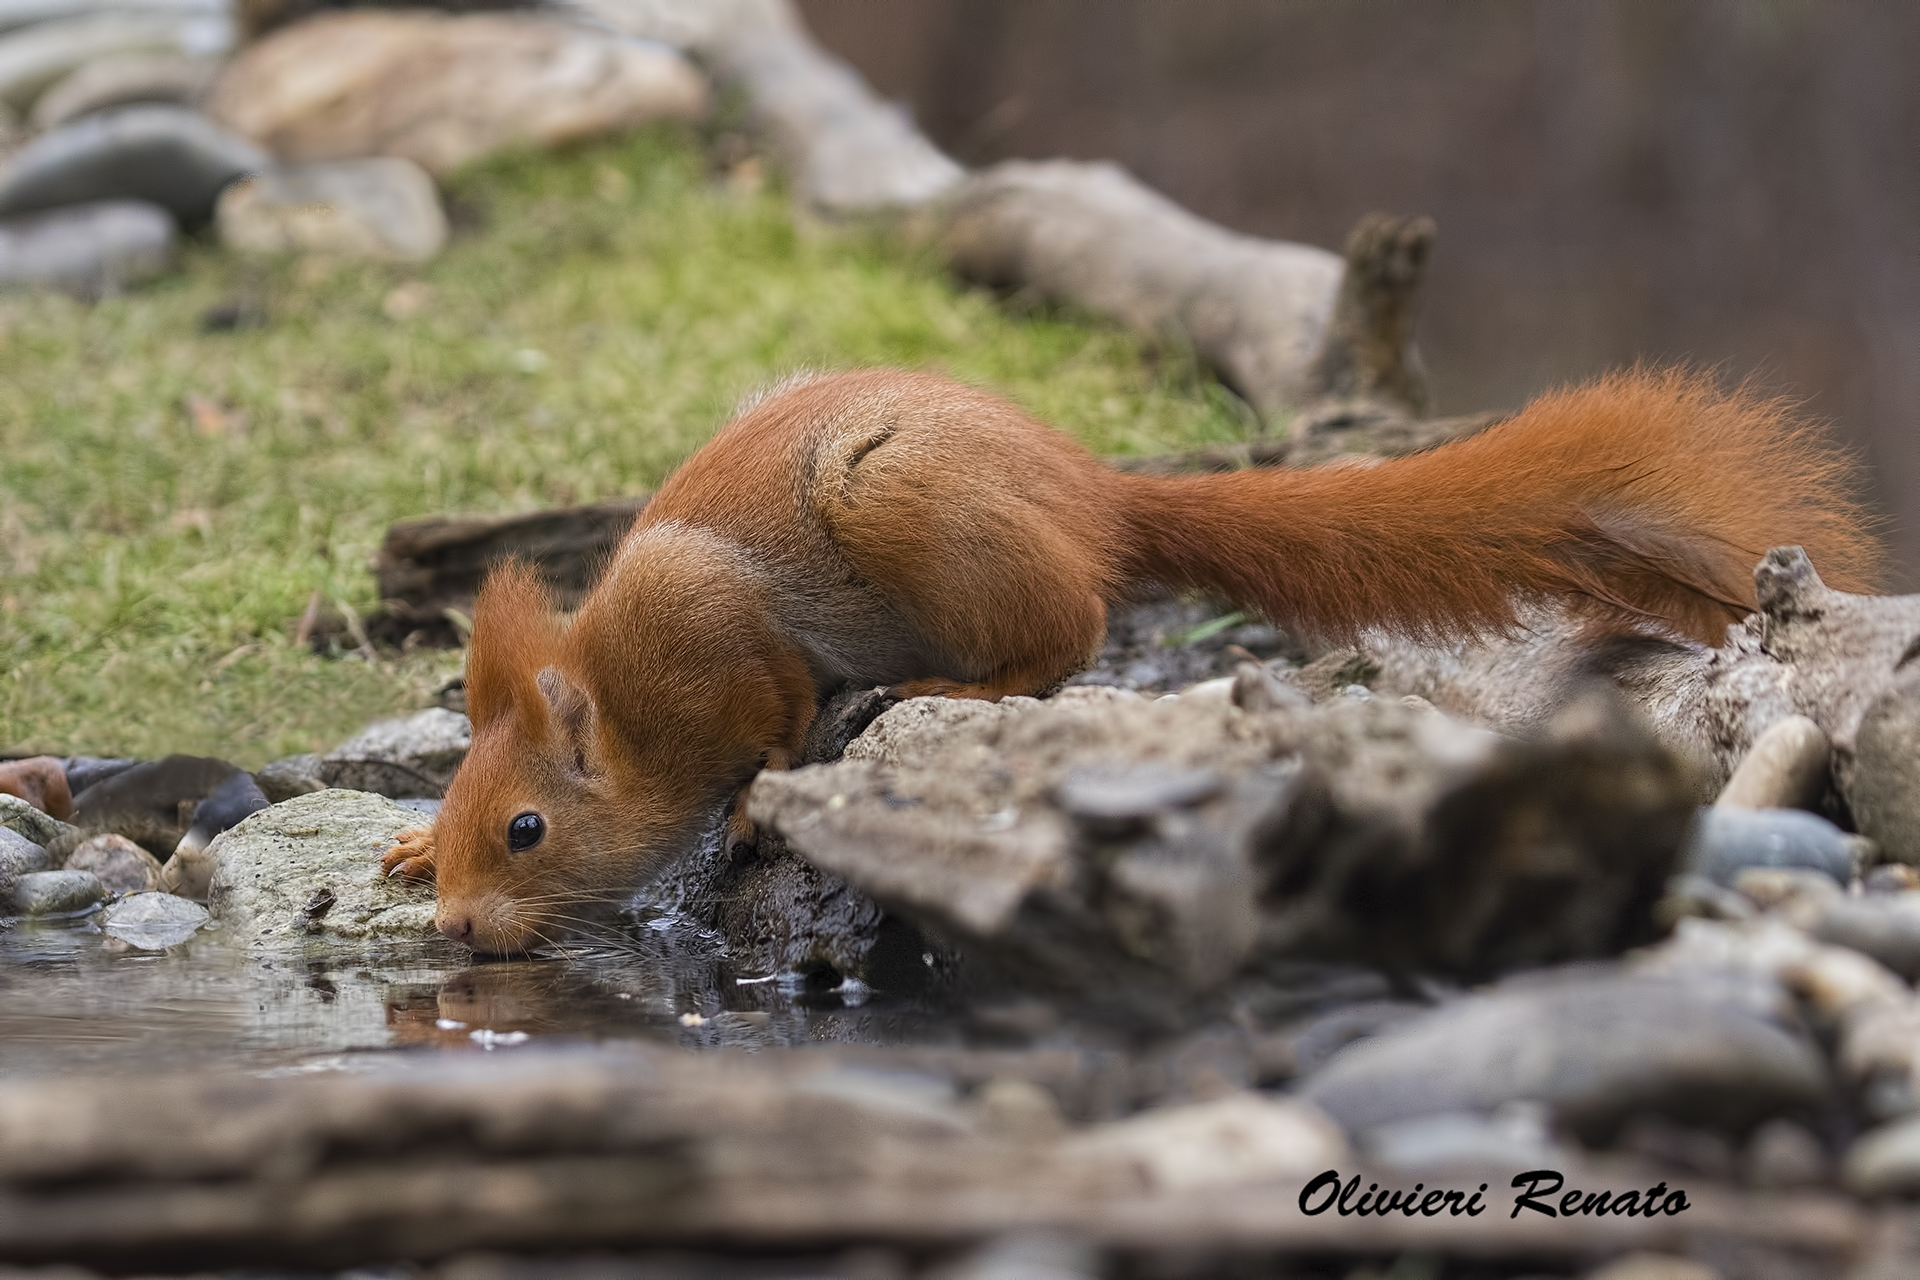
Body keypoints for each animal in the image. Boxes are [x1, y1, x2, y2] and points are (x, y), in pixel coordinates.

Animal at [381, 366, 1880, 953]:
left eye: (524, 830)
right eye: (457, 814)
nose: (454, 926)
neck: (628, 713)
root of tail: (1092, 495)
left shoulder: (726, 650)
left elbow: (782, 716)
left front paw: (755, 800)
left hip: (906, 505)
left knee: (1072, 635)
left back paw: (945, 688)